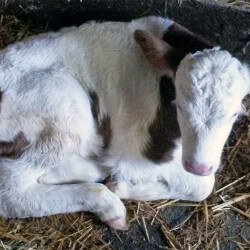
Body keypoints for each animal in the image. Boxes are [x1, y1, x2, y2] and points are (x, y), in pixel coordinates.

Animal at [0, 16, 248, 229]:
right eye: (180, 105)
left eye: (235, 113)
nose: (199, 166)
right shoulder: (133, 150)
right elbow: (202, 186)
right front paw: (122, 186)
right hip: (62, 106)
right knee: (11, 194)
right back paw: (109, 206)